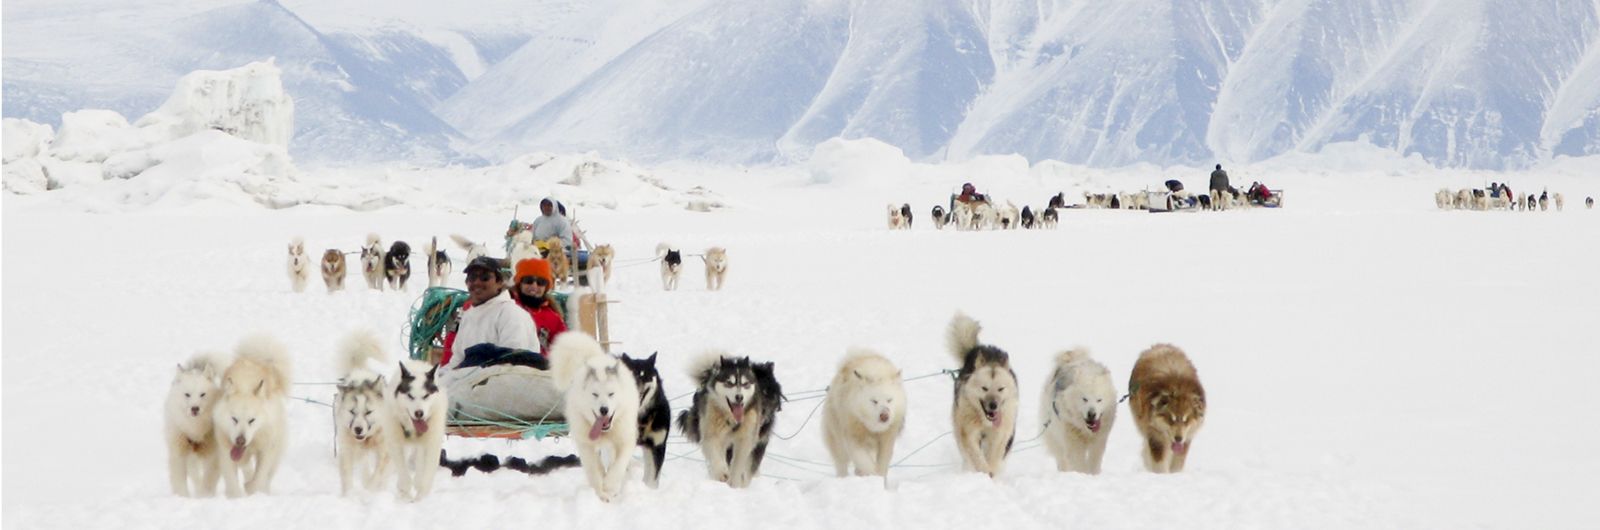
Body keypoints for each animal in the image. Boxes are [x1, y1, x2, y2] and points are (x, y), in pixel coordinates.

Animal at [1126, 344, 1203, 473]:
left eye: (1186, 419)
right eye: (1170, 418)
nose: (1178, 439)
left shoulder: (1187, 437)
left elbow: (1178, 463)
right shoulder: (1155, 435)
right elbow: (1159, 462)